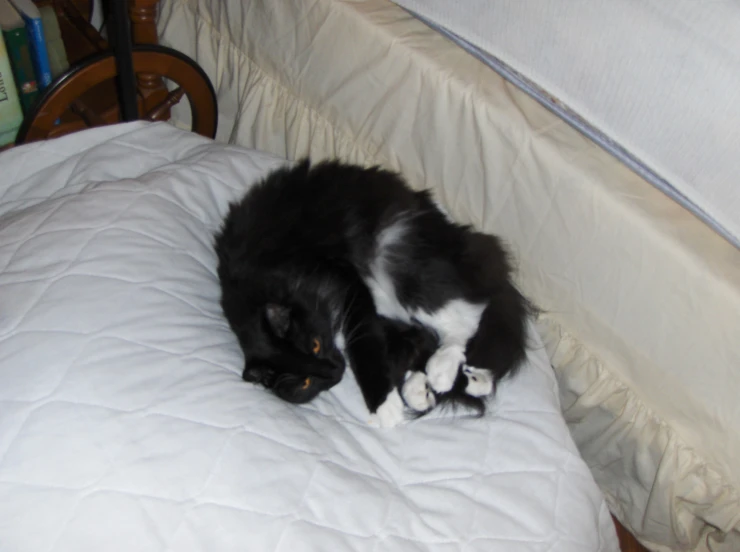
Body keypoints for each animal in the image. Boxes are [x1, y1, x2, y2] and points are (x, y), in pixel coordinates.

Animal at [214, 158, 532, 426]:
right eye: (304, 382)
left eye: (314, 345)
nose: (335, 371)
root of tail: (461, 237)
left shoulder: (348, 281)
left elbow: (365, 347)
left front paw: (384, 406)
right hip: (391, 298)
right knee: (428, 337)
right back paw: (447, 384)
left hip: (398, 261)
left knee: (466, 317)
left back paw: (441, 371)